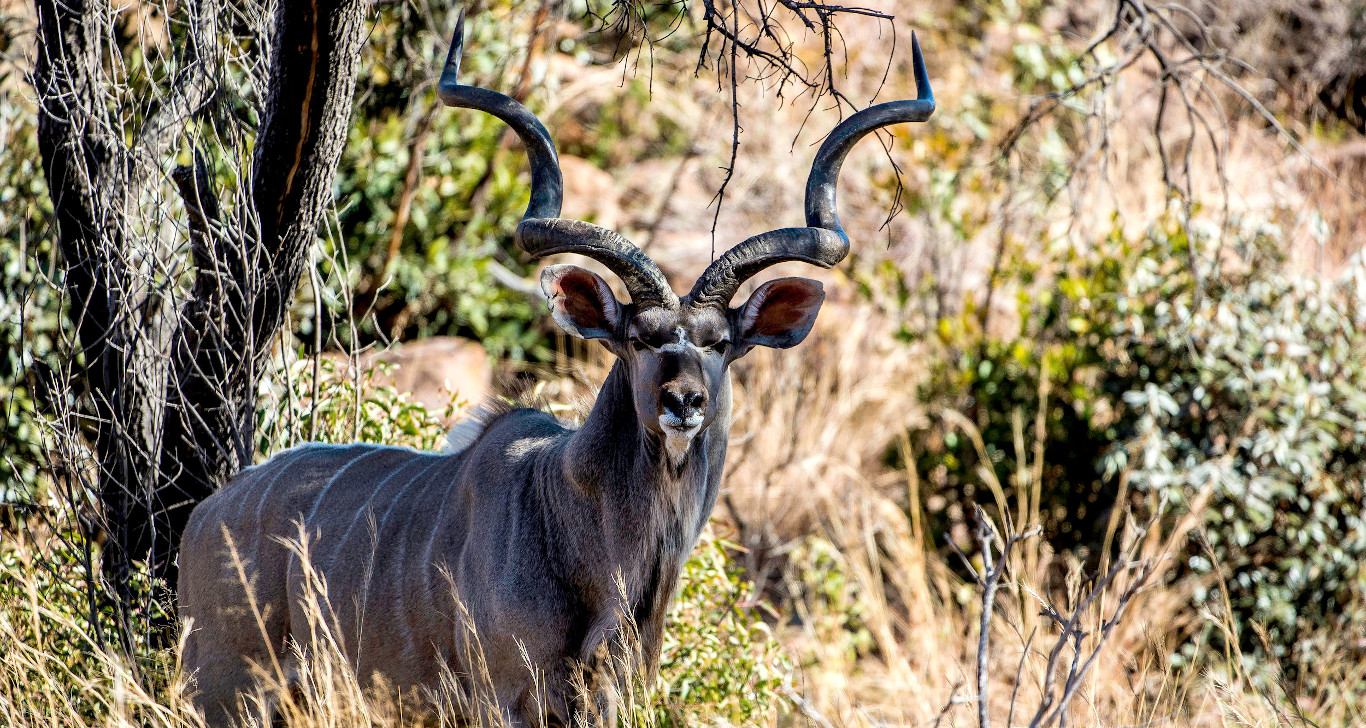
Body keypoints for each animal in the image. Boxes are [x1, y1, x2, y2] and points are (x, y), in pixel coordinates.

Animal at [177, 12, 934, 727]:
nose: (684, 401)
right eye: (638, 339)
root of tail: (204, 517)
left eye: (720, 342)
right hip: (227, 691)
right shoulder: (502, 698)